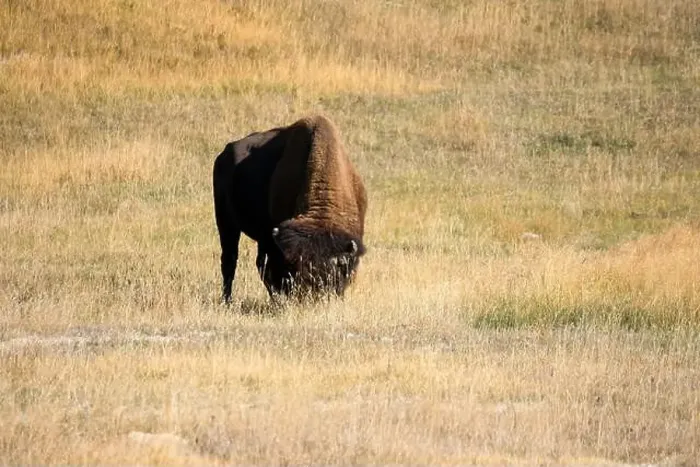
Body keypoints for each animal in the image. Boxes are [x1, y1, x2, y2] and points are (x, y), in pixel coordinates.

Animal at [213, 115, 367, 303]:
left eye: (333, 275)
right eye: (298, 270)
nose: (313, 298)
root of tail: (223, 155)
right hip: (226, 222)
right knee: (230, 260)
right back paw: (228, 301)